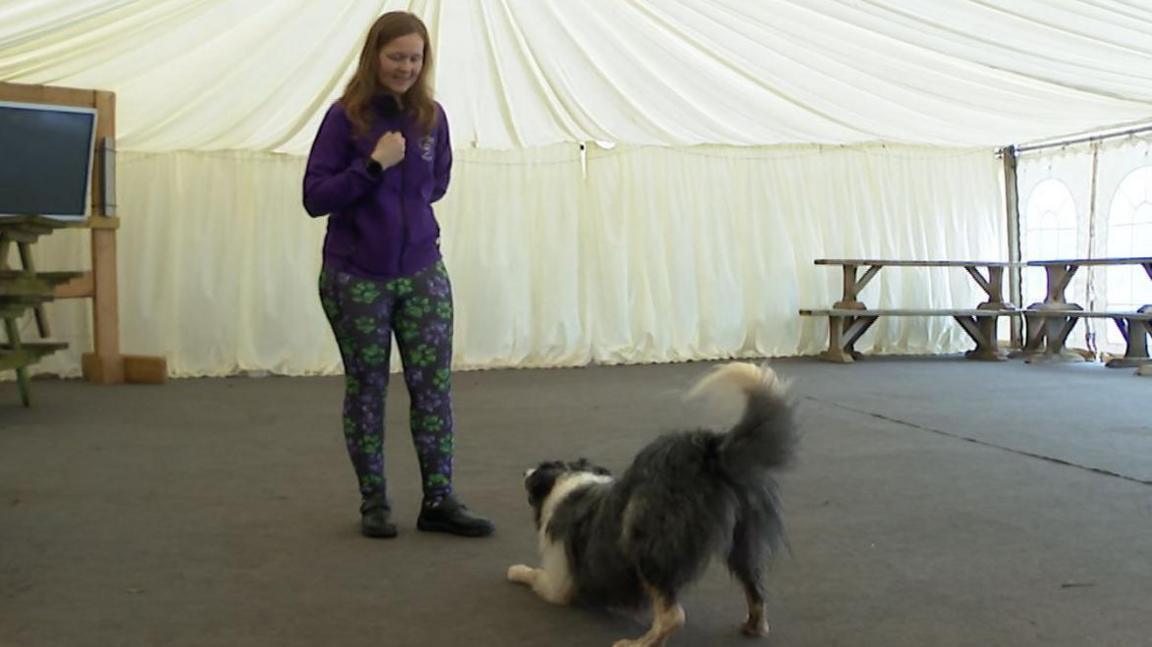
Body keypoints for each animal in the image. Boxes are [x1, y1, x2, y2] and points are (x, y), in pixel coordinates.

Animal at [509, 363, 797, 644]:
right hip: (745, 537)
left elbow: (534, 575)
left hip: (649, 545)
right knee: (754, 586)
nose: (524, 472)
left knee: (673, 616)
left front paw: (516, 570)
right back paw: (754, 626)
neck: (569, 482)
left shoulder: (559, 582)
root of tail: (708, 452)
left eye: (538, 471)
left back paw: (636, 642)